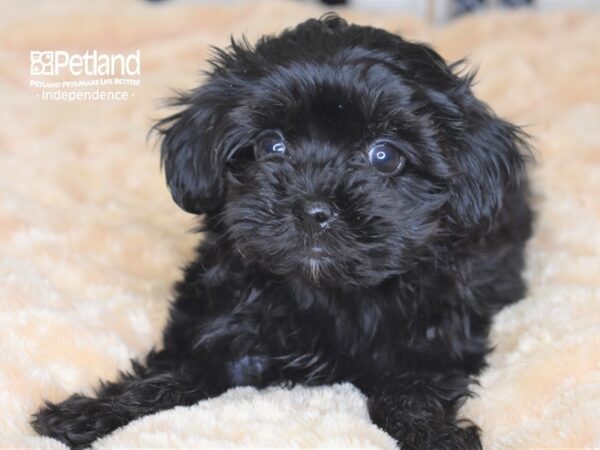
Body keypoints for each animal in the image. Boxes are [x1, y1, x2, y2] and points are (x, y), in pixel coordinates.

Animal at [31, 15, 528, 448]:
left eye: (385, 155)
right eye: (272, 145)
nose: (314, 209)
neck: (327, 295)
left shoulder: (434, 338)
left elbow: (413, 392)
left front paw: (436, 436)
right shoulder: (219, 327)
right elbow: (171, 374)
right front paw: (89, 415)